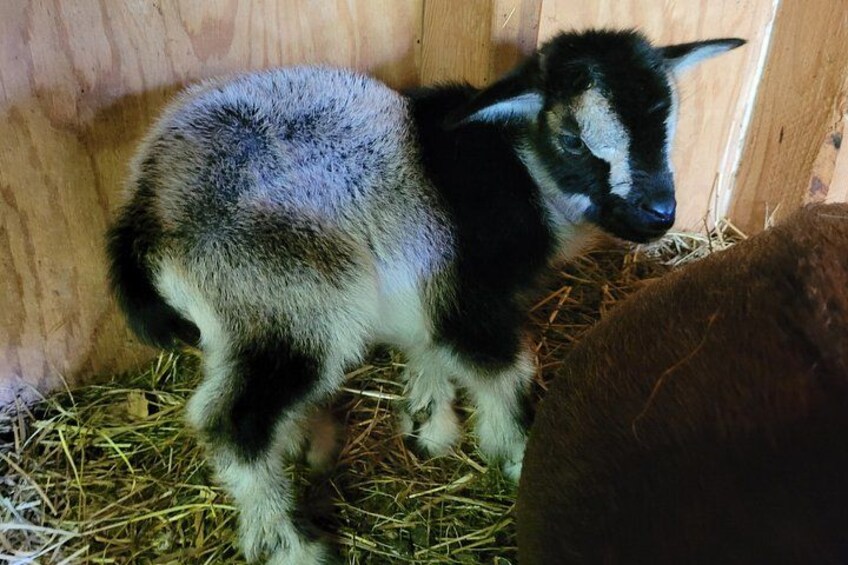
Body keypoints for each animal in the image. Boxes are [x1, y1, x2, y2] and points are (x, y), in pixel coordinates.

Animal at [106, 29, 743, 564]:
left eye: (669, 125)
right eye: (571, 139)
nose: (659, 214)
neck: (522, 172)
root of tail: (146, 209)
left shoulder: (430, 287)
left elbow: (430, 349)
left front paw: (427, 425)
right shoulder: (471, 294)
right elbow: (505, 368)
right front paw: (518, 453)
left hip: (242, 312)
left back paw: (307, 444)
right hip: (288, 289)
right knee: (235, 421)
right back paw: (293, 544)